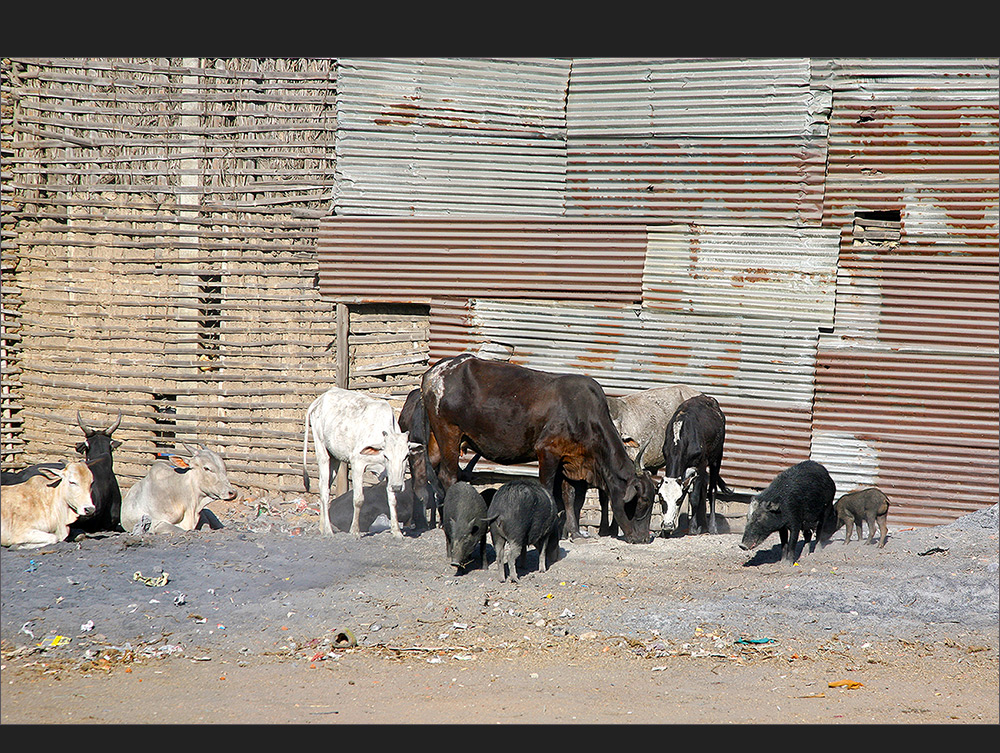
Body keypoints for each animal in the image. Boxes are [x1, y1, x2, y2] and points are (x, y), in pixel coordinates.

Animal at [300, 384, 418, 536]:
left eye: (406, 456)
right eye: (386, 456)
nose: (398, 486)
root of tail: (319, 399)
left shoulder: (390, 475)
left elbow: (392, 499)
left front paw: (396, 531)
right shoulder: (358, 464)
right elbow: (358, 499)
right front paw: (355, 531)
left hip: (335, 459)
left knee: (324, 485)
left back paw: (322, 527)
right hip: (322, 450)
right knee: (324, 489)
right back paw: (328, 530)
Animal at [420, 356, 656, 544]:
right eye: (642, 501)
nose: (643, 539)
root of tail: (436, 371)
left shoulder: (568, 459)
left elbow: (569, 496)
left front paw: (574, 533)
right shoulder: (548, 452)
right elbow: (548, 489)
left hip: (436, 440)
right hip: (449, 433)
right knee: (448, 476)